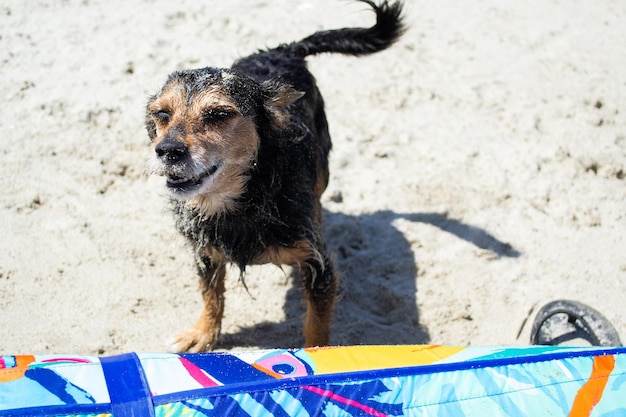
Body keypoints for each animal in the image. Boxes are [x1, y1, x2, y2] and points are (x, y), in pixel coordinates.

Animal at [144, 0, 402, 352]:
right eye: (161, 114)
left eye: (219, 114)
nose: (167, 150)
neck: (243, 201)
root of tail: (284, 50)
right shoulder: (205, 252)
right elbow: (211, 295)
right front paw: (204, 334)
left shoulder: (320, 267)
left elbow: (316, 325)